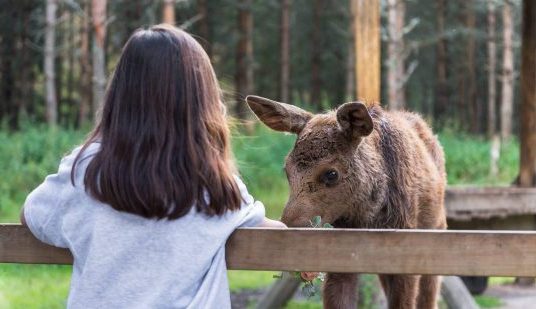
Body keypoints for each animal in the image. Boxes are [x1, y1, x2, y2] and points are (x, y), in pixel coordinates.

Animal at [247, 95, 448, 306]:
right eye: (286, 169)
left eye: (331, 173)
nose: (287, 233)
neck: (367, 219)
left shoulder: (407, 259)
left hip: (437, 231)